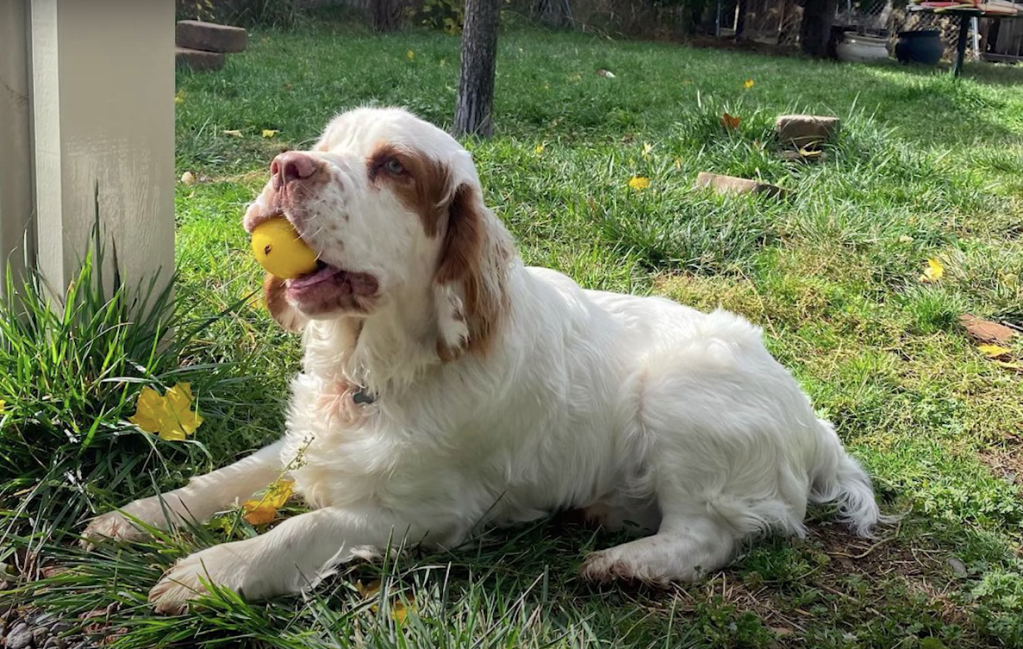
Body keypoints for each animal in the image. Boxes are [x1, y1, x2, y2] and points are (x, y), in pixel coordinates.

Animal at [87, 105, 883, 610]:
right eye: (324, 141)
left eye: (392, 167)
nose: (286, 165)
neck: (377, 368)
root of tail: (812, 420)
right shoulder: (302, 442)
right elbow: (220, 479)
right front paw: (130, 517)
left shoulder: (425, 510)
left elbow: (302, 527)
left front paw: (208, 571)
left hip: (681, 389)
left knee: (710, 533)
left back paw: (625, 563)